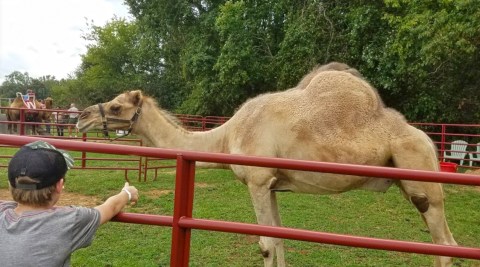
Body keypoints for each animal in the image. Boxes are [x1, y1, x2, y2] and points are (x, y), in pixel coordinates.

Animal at [76, 62, 458, 266]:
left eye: (116, 106)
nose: (79, 118)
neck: (228, 135)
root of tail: (429, 141)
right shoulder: (273, 184)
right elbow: (278, 238)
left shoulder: (257, 181)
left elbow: (265, 243)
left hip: (419, 175)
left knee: (443, 244)